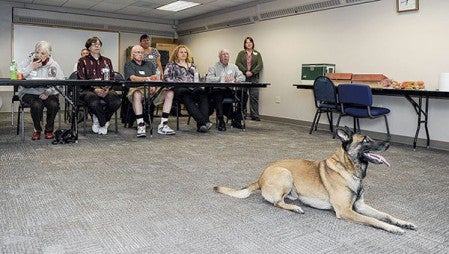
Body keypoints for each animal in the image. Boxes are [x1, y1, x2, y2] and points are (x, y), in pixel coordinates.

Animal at [214, 127, 416, 234]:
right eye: (366, 141)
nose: (388, 143)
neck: (349, 169)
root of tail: (260, 177)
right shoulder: (346, 211)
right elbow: (374, 220)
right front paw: (393, 229)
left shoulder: (360, 206)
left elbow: (386, 215)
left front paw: (403, 222)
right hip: (285, 174)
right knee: (278, 203)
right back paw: (294, 208)